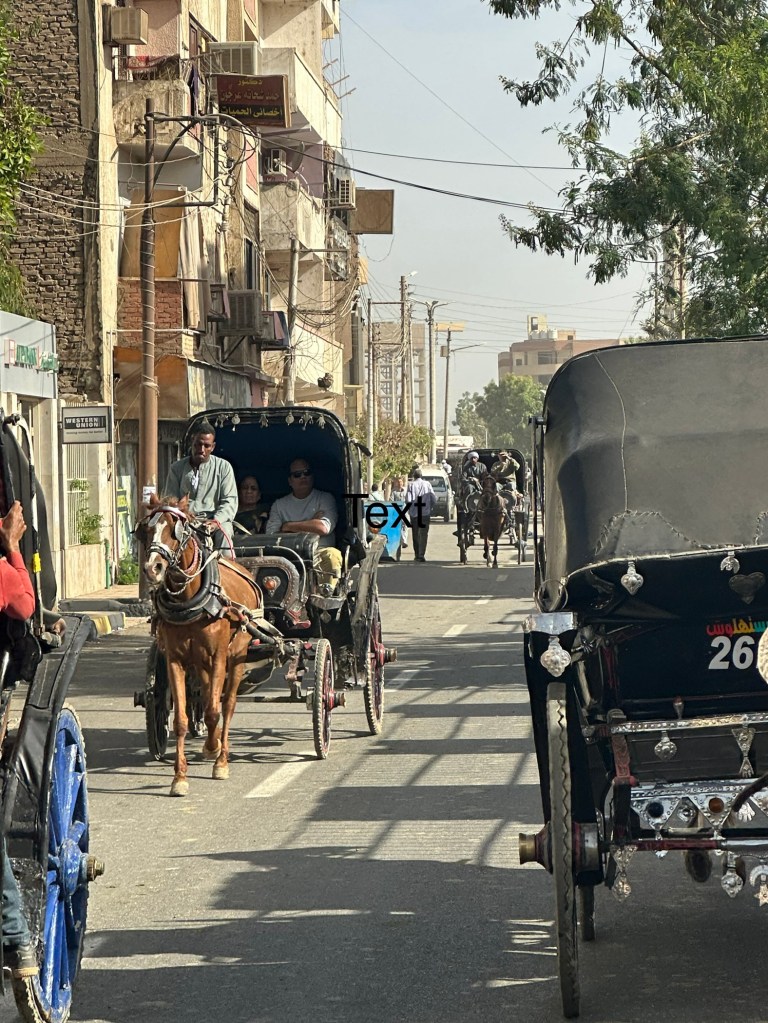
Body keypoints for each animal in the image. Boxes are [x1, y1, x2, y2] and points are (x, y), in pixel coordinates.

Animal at [136, 494, 265, 797]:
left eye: (176, 530)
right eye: (145, 529)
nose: (152, 568)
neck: (191, 597)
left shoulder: (218, 657)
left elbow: (215, 711)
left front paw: (216, 757)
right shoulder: (175, 659)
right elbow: (182, 719)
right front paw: (179, 777)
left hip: (237, 657)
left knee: (226, 705)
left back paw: (220, 753)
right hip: (201, 663)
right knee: (206, 697)